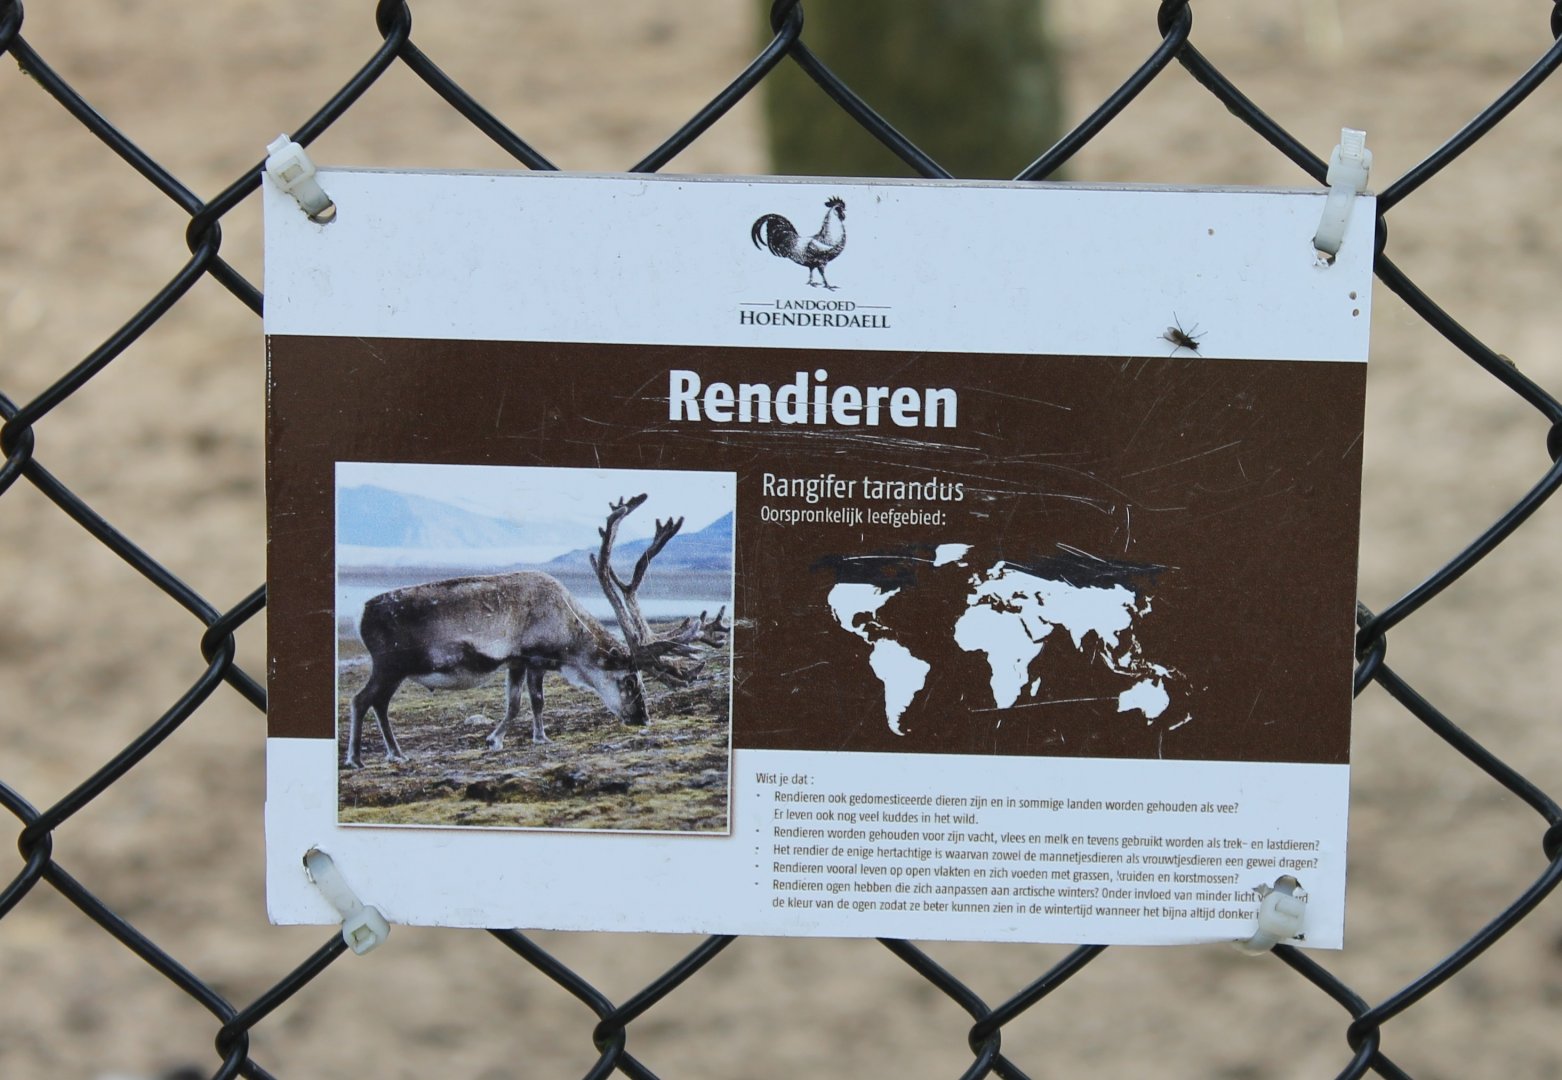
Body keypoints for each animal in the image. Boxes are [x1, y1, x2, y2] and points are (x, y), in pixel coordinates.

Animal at [342, 493, 728, 768]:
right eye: (630, 679)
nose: (642, 718)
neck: (568, 628)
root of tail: (361, 612)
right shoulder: (532, 657)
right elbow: (530, 701)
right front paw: (510, 738)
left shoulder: (517, 661)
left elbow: (521, 703)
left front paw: (523, 737)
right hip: (389, 665)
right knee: (362, 700)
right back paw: (357, 759)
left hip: (394, 670)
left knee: (378, 703)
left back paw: (395, 753)